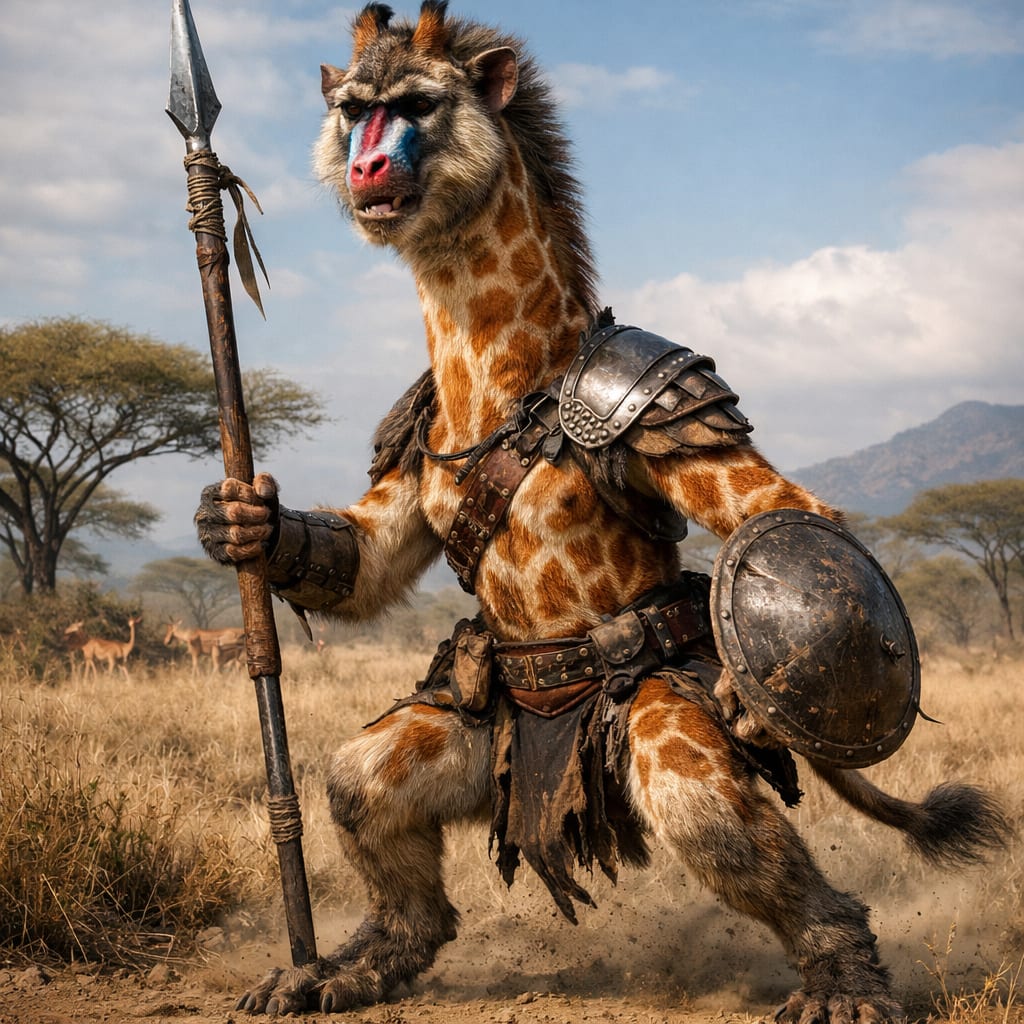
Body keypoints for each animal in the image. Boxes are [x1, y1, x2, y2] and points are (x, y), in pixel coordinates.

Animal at [195, 3, 1008, 1018]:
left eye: (416, 105)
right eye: (355, 112)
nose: (368, 168)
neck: (510, 380)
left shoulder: (662, 395)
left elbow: (781, 509)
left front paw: (752, 698)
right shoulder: (414, 441)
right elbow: (367, 554)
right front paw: (245, 525)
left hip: (659, 724)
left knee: (706, 812)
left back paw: (846, 979)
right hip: (487, 733)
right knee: (358, 786)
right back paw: (358, 962)